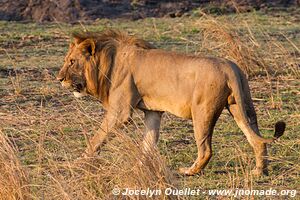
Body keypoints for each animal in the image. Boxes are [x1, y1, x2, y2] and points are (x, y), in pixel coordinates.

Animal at [56, 28, 286, 176]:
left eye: (72, 62)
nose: (59, 78)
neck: (108, 62)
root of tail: (230, 66)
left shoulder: (120, 112)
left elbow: (97, 138)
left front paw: (78, 162)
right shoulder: (153, 112)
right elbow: (148, 142)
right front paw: (141, 166)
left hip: (202, 112)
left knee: (206, 149)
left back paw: (189, 171)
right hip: (241, 106)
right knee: (256, 139)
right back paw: (259, 171)